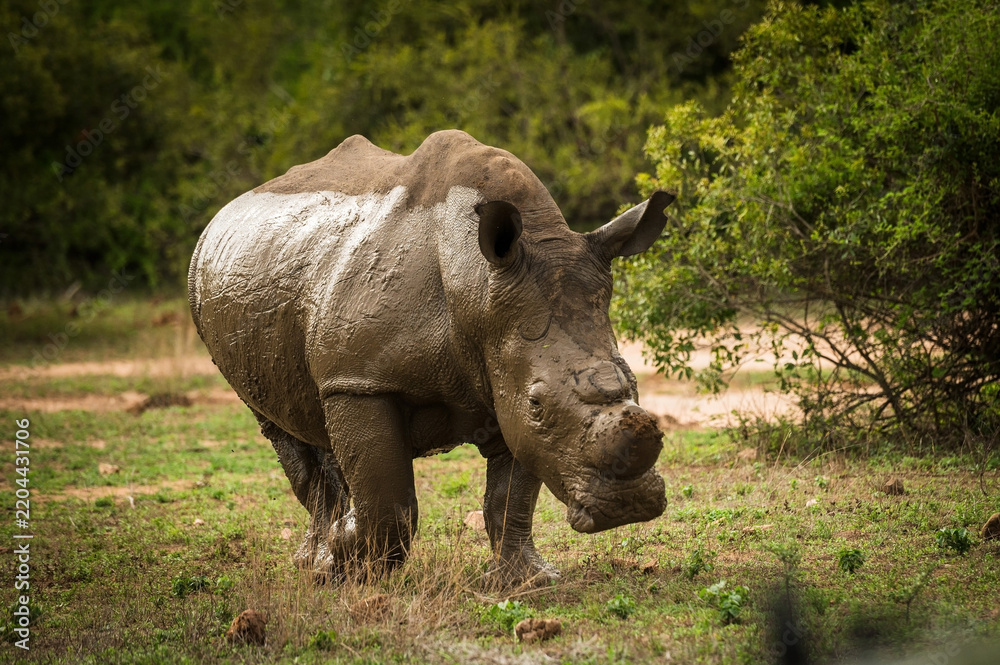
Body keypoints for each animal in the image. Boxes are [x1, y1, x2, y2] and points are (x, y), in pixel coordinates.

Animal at [188, 130, 675, 583]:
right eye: (538, 403)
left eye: (633, 382)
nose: (628, 507)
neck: (476, 283)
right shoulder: (360, 380)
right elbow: (391, 501)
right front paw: (353, 568)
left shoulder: (506, 374)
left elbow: (511, 498)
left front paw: (529, 580)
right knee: (277, 427)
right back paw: (320, 562)